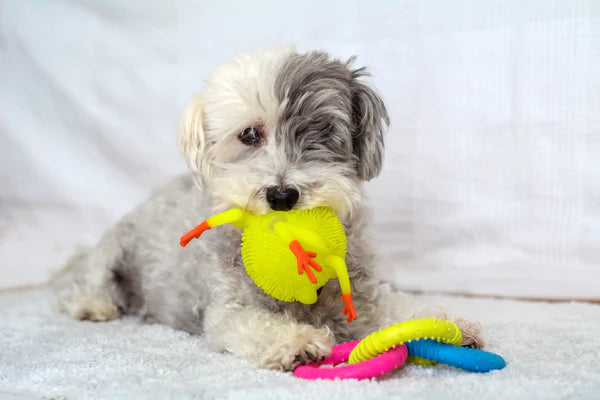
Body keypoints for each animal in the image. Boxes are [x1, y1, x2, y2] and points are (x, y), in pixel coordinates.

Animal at [56, 48, 486, 370]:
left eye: (321, 130)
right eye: (249, 134)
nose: (282, 196)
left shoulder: (361, 293)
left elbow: (397, 306)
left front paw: (446, 323)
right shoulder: (229, 309)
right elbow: (254, 323)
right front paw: (297, 340)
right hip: (112, 247)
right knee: (88, 282)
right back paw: (94, 306)